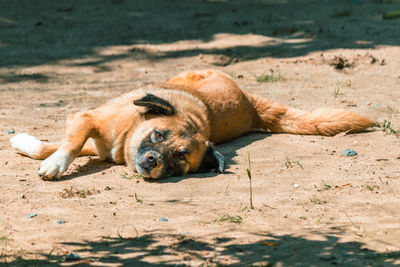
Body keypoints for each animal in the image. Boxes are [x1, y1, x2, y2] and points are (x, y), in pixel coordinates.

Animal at [10, 70, 376, 181]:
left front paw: (48, 157)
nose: (153, 161)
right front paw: (50, 159)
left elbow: (66, 144)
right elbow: (65, 145)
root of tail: (251, 105)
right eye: (157, 135)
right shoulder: (88, 120)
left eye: (182, 156)